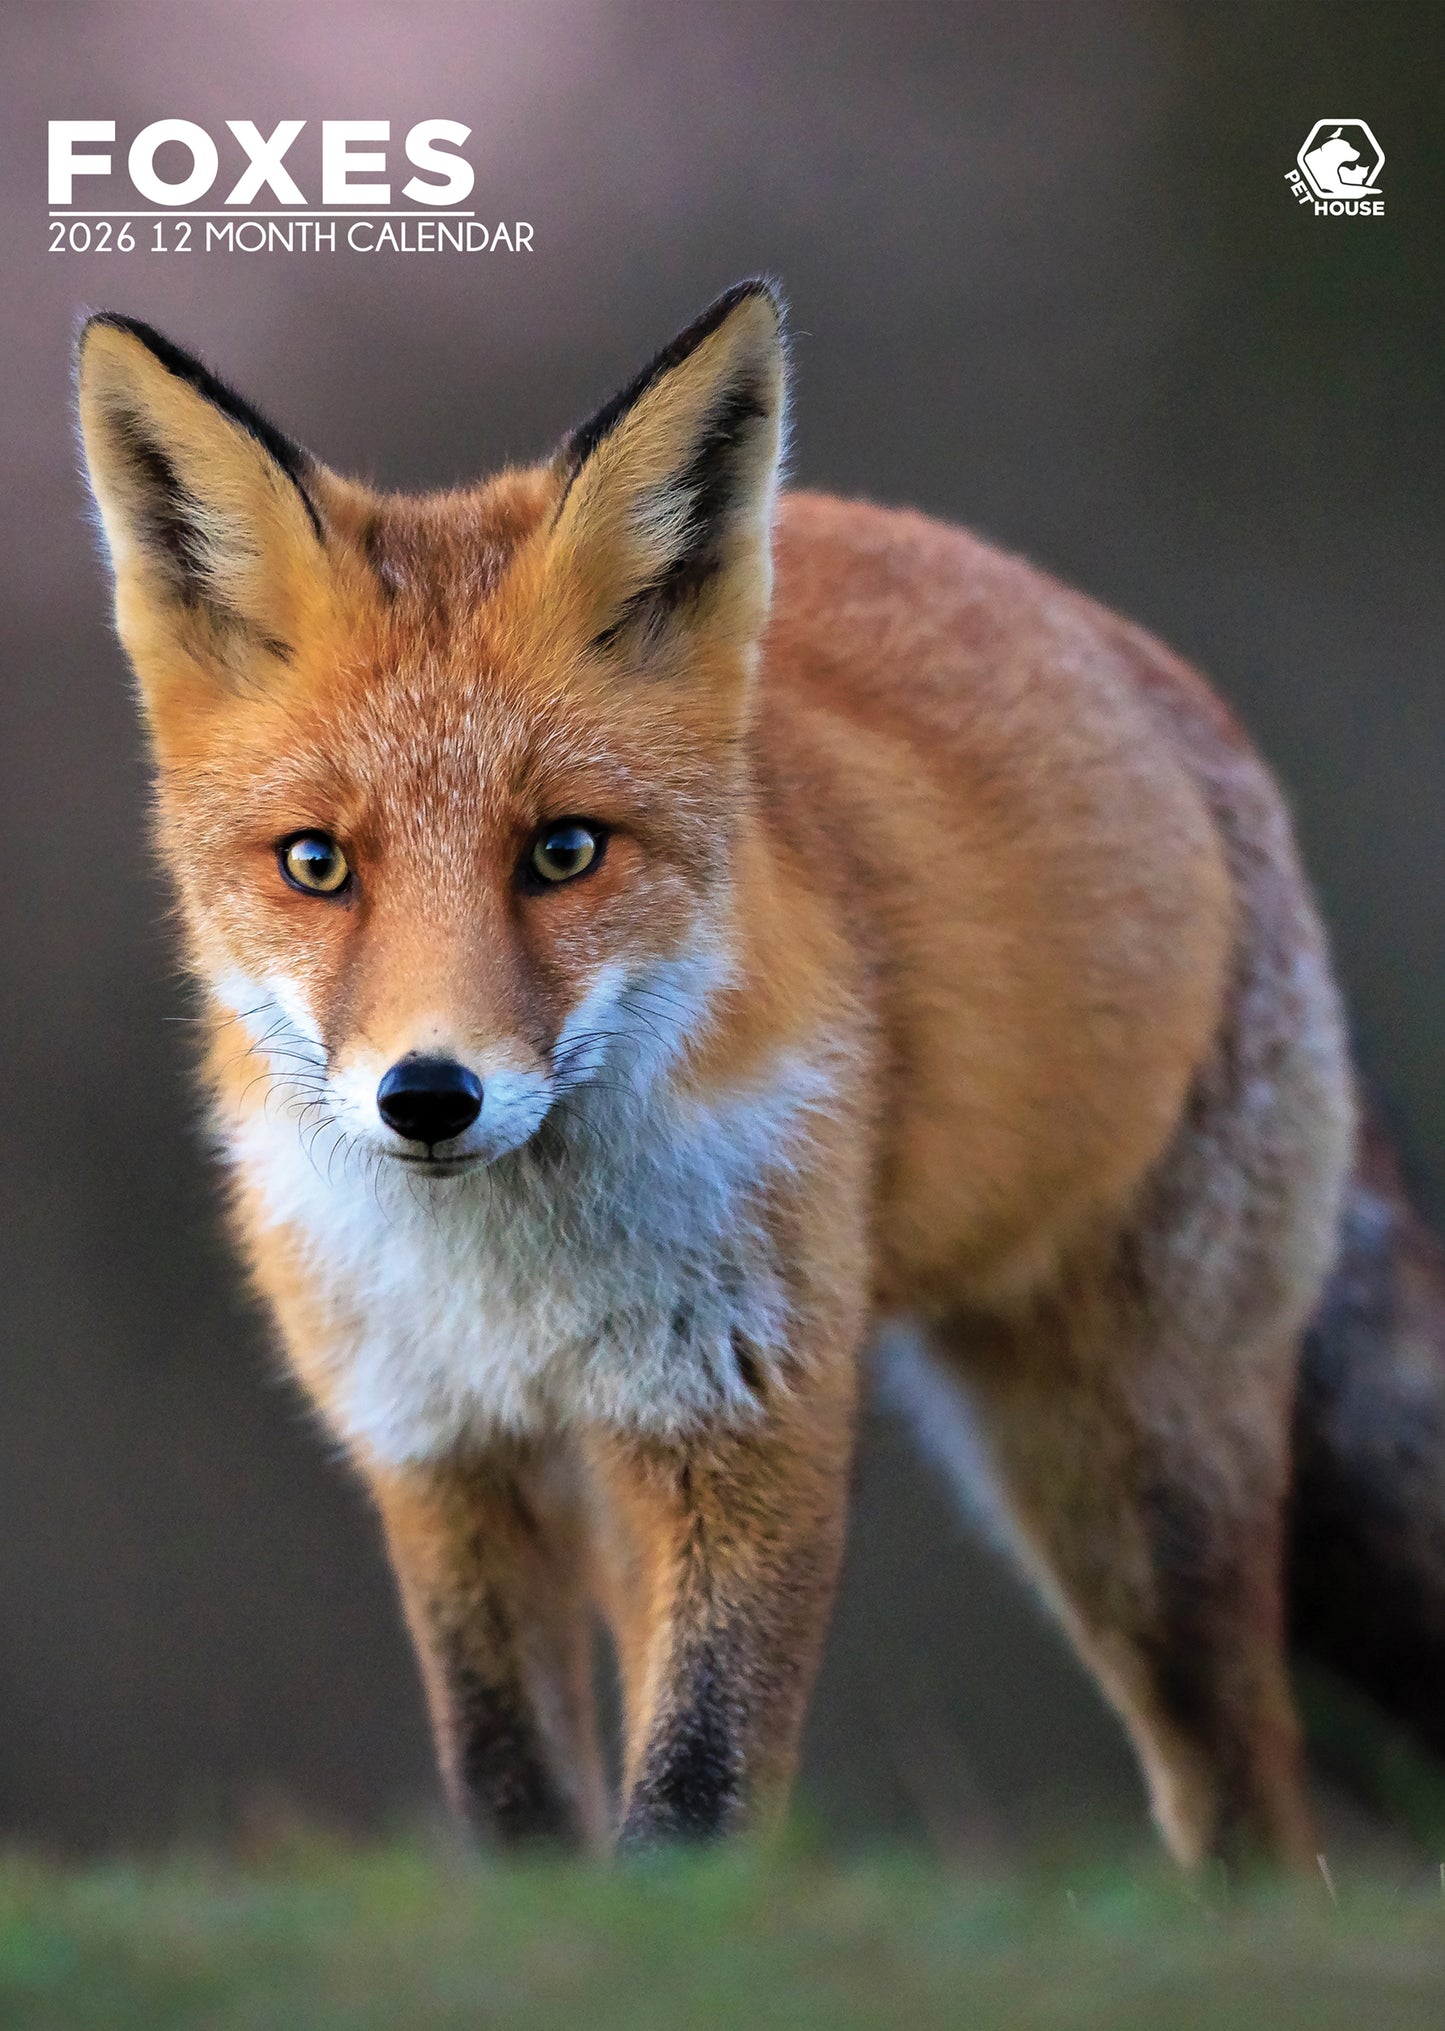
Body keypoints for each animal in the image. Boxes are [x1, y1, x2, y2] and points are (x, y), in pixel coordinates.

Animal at [75, 281, 1445, 1870]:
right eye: (315, 864)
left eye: (563, 851)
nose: (428, 1096)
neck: (511, 1280)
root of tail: (1146, 666)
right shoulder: (437, 1444)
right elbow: (514, 1791)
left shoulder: (746, 1410)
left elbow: (696, 1793)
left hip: (1130, 1477)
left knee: (1247, 1796)